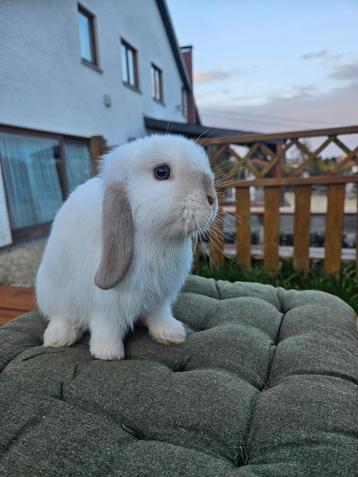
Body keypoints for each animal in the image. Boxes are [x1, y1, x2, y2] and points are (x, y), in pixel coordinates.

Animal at [36, 133, 217, 356]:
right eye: (162, 172)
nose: (212, 198)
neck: (158, 239)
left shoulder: (159, 299)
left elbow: (160, 316)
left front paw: (172, 335)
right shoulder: (105, 305)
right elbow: (107, 326)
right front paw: (108, 353)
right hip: (54, 294)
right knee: (62, 316)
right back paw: (58, 338)